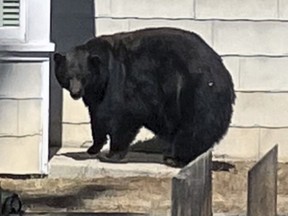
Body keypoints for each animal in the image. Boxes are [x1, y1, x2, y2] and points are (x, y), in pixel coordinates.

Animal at [53, 27, 234, 168]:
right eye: (67, 76)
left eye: (83, 76)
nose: (75, 93)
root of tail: (222, 70)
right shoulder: (96, 95)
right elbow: (97, 118)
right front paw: (92, 148)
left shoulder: (121, 82)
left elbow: (121, 116)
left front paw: (111, 154)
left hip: (194, 91)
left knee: (195, 126)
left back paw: (176, 158)